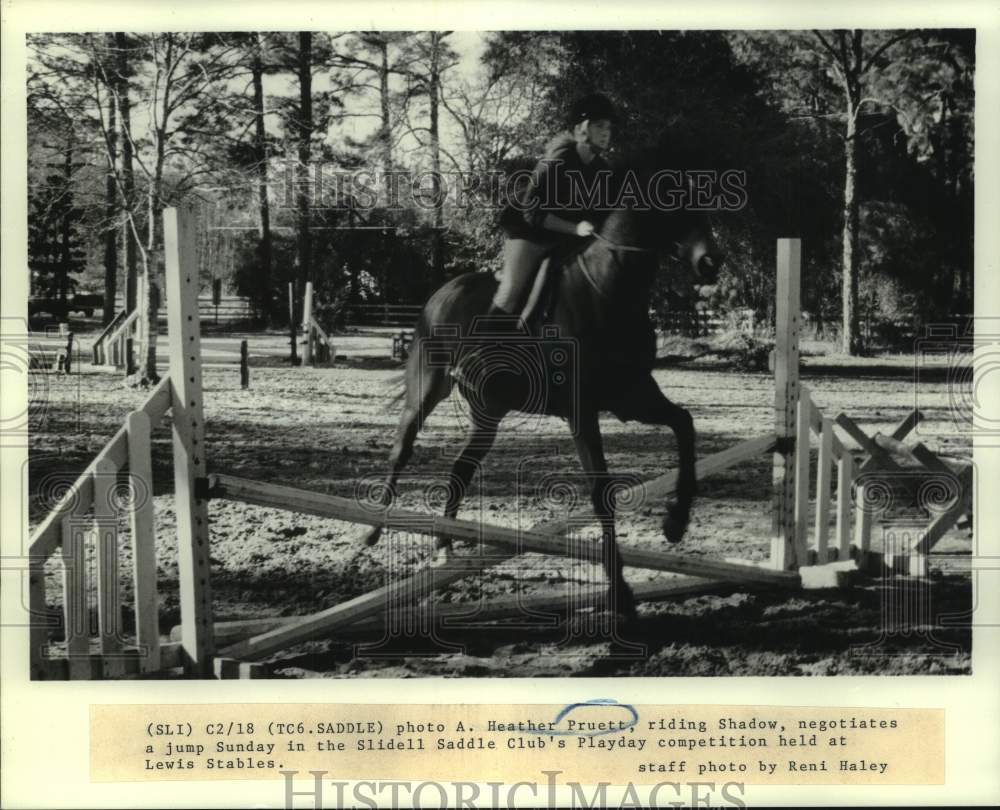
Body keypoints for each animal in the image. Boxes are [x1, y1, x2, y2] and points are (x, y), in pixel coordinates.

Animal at [364, 172, 724, 620]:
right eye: (673, 203)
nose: (711, 261)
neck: (609, 292)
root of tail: (444, 290)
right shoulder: (582, 412)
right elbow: (601, 494)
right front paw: (621, 596)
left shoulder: (631, 397)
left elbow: (684, 425)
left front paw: (675, 523)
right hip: (426, 389)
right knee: (402, 447)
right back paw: (374, 530)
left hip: (489, 411)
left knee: (461, 469)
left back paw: (444, 548)